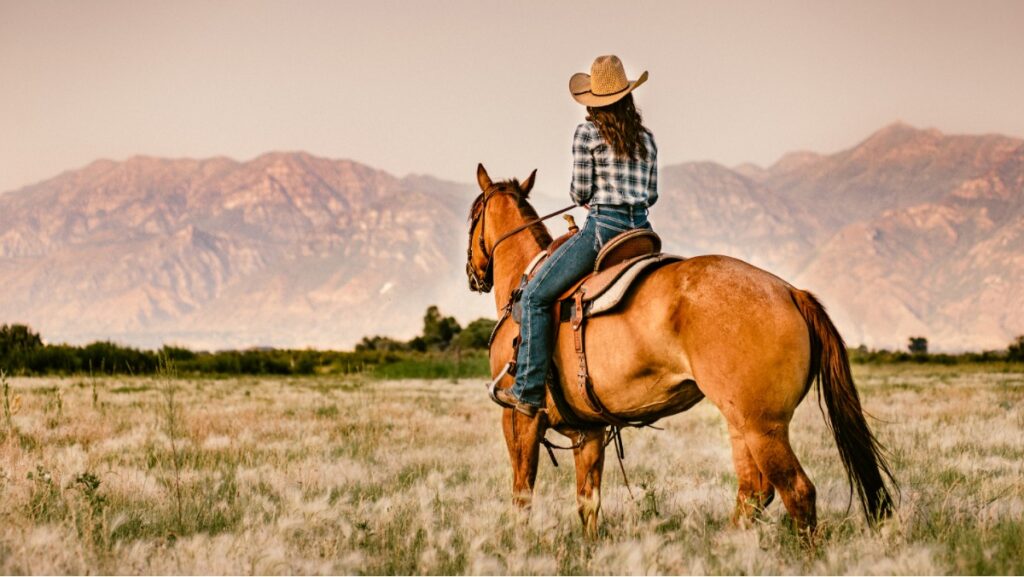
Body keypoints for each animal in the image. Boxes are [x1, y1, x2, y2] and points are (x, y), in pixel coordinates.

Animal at [465, 164, 896, 538]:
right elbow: (588, 502)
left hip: (764, 426)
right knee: (753, 491)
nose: (474, 275)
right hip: (742, 424)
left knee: (796, 491)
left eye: (473, 213)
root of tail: (790, 291)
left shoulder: (518, 419)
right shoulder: (588, 430)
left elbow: (522, 493)